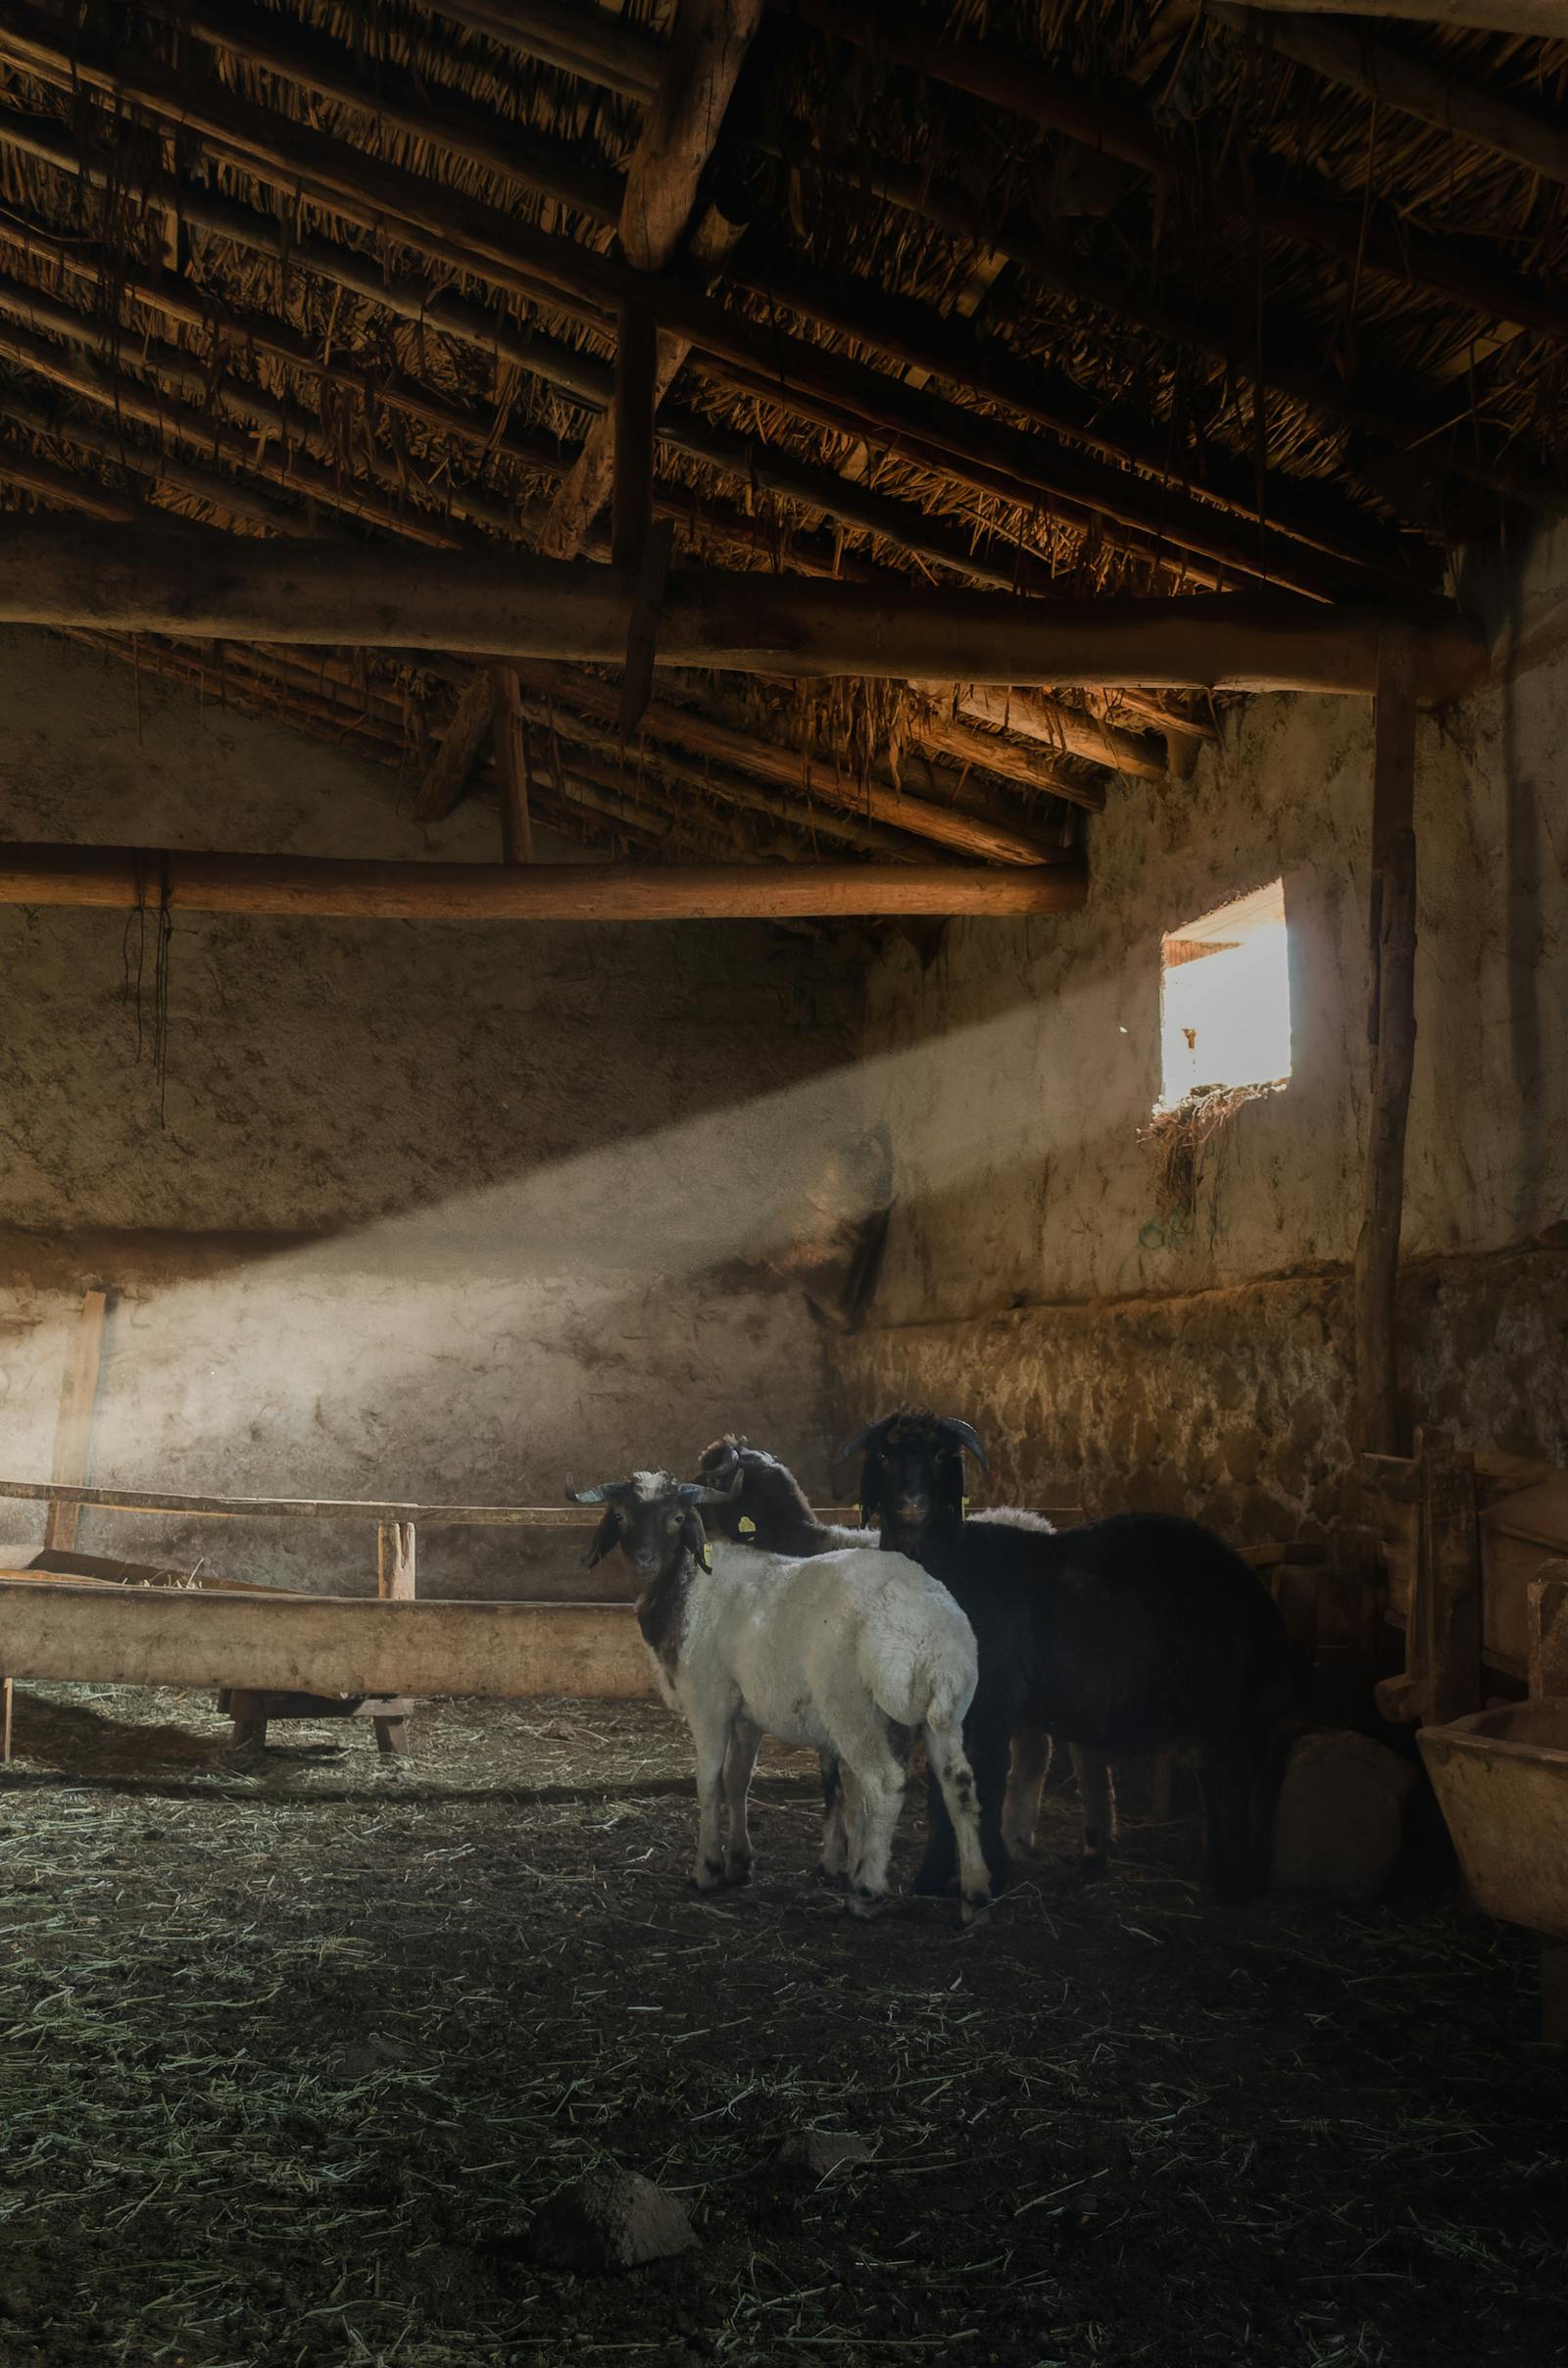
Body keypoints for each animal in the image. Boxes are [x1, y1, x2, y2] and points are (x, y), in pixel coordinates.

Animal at [568, 1458, 995, 1922]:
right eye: (621, 1516)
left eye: (678, 1518)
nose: (645, 1561)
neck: (686, 1585)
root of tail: (929, 1638)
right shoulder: (748, 1713)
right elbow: (737, 1780)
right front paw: (739, 1862)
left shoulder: (708, 1702)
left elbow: (709, 1782)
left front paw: (707, 1869)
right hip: (947, 1715)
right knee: (960, 1786)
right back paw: (974, 1893)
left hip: (852, 1709)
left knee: (884, 1785)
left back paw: (866, 1891)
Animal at [843, 1402, 1298, 1903]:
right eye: (884, 1456)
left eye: (942, 1455)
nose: (911, 1504)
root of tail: (1262, 1604)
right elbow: (945, 1792)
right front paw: (932, 1879)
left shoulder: (997, 1698)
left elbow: (986, 1780)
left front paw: (987, 1873)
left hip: (1230, 1712)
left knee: (1232, 1787)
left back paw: (1229, 1885)